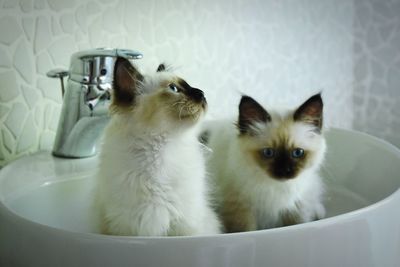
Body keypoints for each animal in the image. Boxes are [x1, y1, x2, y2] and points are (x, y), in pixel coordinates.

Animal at [205, 95, 326, 233]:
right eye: (268, 152)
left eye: (297, 153)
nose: (284, 171)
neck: (276, 187)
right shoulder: (240, 208)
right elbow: (247, 230)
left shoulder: (296, 207)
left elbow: (296, 224)